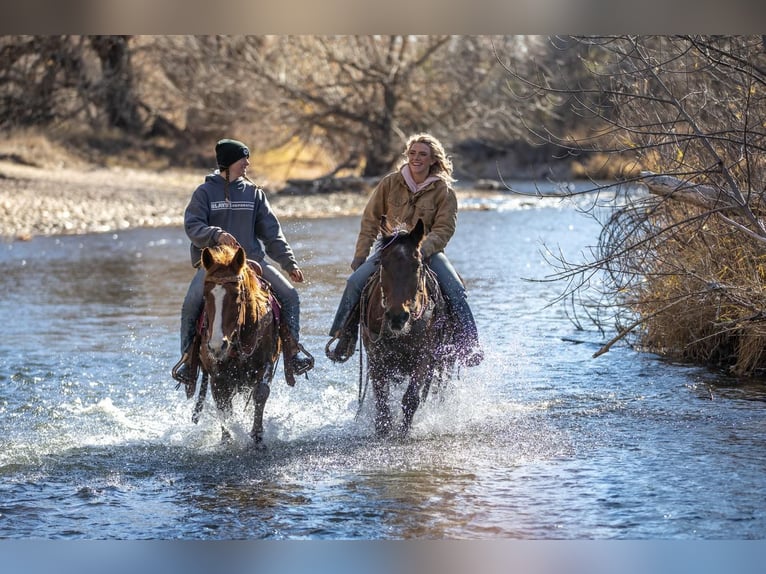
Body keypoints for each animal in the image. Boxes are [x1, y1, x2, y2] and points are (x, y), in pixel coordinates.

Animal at [195, 245, 282, 448]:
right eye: (205, 295)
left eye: (236, 294)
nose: (217, 345)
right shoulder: (217, 375)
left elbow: (261, 393)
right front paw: (227, 439)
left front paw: (257, 436)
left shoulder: (266, 362)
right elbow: (223, 405)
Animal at [364, 218, 460, 438]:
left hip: (446, 362)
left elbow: (411, 398)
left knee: (439, 391)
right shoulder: (375, 358)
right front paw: (383, 429)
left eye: (416, 265)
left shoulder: (423, 357)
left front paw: (403, 431)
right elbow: (381, 398)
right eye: (383, 263)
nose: (397, 316)